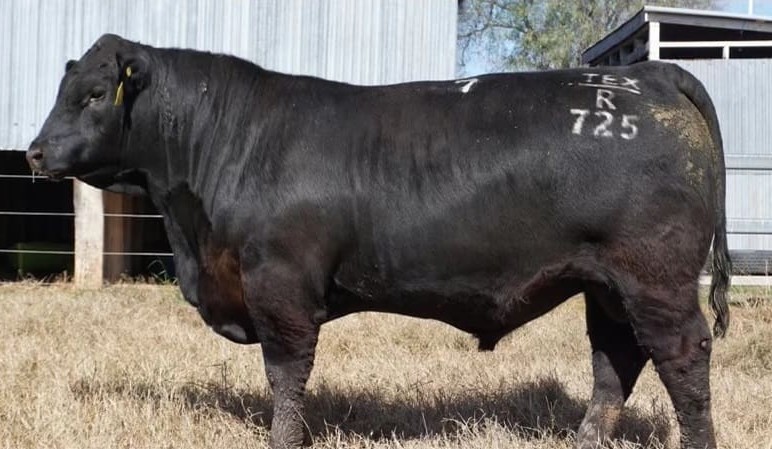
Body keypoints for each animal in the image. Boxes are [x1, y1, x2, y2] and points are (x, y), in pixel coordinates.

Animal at [27, 34, 730, 449]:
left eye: (94, 94)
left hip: (655, 276)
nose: (34, 151)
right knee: (615, 361)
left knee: (681, 356)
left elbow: (286, 373)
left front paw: (283, 439)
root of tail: (650, 75)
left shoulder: (280, 283)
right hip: (605, 284)